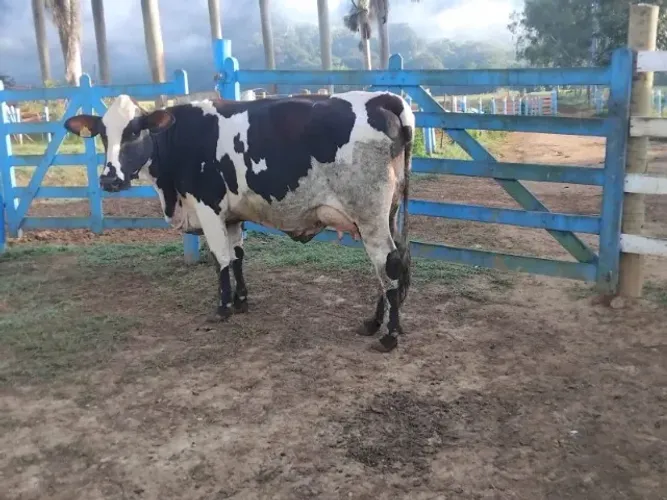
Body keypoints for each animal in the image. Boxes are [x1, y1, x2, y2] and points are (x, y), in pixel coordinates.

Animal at [62, 90, 415, 352]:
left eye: (135, 131)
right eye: (102, 134)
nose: (109, 179)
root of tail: (383, 98)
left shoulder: (208, 207)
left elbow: (219, 258)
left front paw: (222, 307)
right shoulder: (233, 215)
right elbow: (237, 257)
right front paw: (241, 300)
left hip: (370, 217)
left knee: (388, 265)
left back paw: (389, 336)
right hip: (387, 214)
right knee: (390, 265)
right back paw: (373, 323)